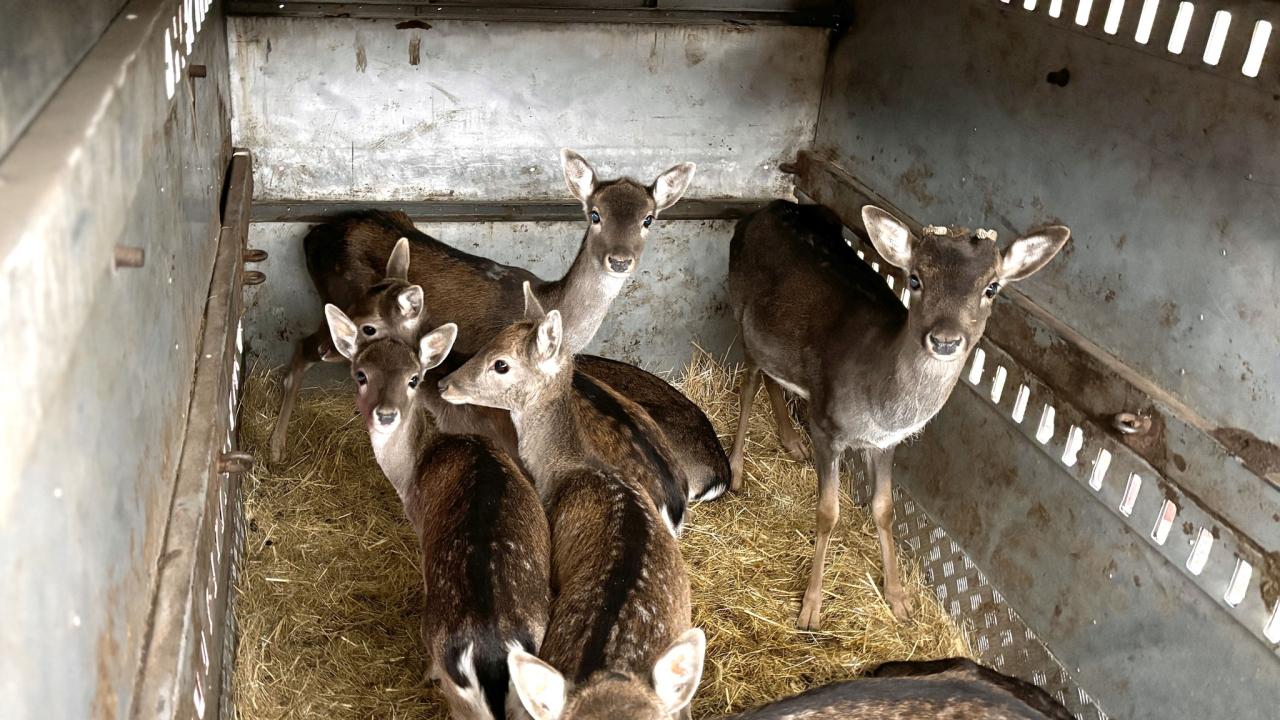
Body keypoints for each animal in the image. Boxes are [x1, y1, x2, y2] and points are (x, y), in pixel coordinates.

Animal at [322, 310, 547, 717]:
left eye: (413, 379)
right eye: (361, 375)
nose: (386, 414)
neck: (412, 472)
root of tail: (491, 657)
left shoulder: (421, 531)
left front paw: (424, 673)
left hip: (461, 696)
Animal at [732, 198, 1070, 625]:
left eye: (991, 287)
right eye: (914, 279)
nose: (945, 340)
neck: (879, 405)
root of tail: (762, 208)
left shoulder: (887, 442)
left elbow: (885, 509)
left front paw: (898, 599)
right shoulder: (825, 424)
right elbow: (827, 512)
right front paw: (810, 609)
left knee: (772, 376)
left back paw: (792, 442)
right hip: (741, 314)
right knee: (748, 383)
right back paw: (736, 470)